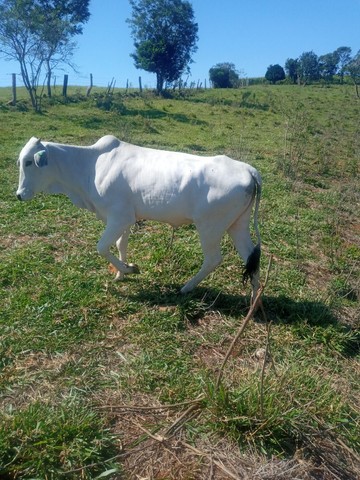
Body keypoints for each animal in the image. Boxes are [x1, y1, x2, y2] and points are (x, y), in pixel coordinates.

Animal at [16, 135, 262, 298]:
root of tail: (248, 170)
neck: (89, 166)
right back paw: (254, 298)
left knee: (213, 259)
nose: (19, 195)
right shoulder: (124, 217)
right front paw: (120, 274)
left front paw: (129, 269)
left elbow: (102, 247)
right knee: (250, 256)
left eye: (28, 162)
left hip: (209, 226)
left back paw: (187, 287)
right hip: (237, 224)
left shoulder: (118, 217)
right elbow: (119, 244)